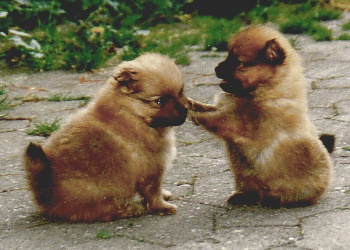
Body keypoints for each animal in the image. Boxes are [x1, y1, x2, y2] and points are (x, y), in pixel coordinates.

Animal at [24, 52, 189, 221]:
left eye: (180, 92)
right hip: (100, 191)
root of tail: (46, 190)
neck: (131, 112)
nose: (186, 110)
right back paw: (131, 209)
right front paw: (162, 207)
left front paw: (164, 195)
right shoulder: (152, 170)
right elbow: (153, 193)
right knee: (103, 210)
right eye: (159, 101)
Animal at [189, 26, 334, 208]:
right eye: (228, 56)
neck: (266, 88)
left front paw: (190, 112)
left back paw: (272, 199)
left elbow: (214, 119)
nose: (216, 68)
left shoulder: (237, 123)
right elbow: (208, 108)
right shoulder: (226, 109)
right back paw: (245, 197)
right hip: (245, 177)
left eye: (238, 62)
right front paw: (189, 103)